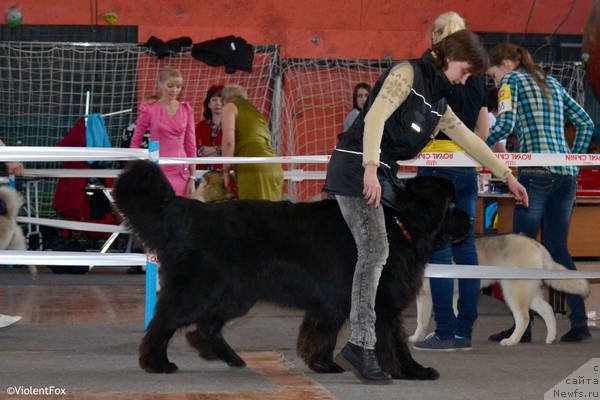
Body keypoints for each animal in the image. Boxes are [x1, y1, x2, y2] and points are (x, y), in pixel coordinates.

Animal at [111, 161, 468, 380]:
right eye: (450, 205)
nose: (469, 218)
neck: (400, 223)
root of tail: (191, 212)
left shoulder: (333, 302)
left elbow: (321, 333)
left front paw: (323, 363)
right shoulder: (382, 301)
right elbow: (394, 342)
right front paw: (412, 371)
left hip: (235, 293)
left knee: (204, 327)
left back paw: (231, 357)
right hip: (202, 290)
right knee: (164, 321)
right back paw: (156, 362)